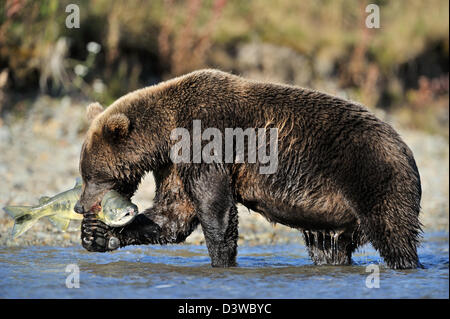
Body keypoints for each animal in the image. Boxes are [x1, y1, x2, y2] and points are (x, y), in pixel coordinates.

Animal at [74, 70, 422, 270]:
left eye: (92, 175)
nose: (79, 206)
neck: (166, 133)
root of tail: (406, 146)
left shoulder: (205, 141)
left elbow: (214, 207)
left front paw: (221, 260)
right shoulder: (173, 163)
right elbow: (171, 215)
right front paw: (98, 234)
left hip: (373, 177)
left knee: (394, 234)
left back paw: (405, 264)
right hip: (332, 217)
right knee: (330, 246)